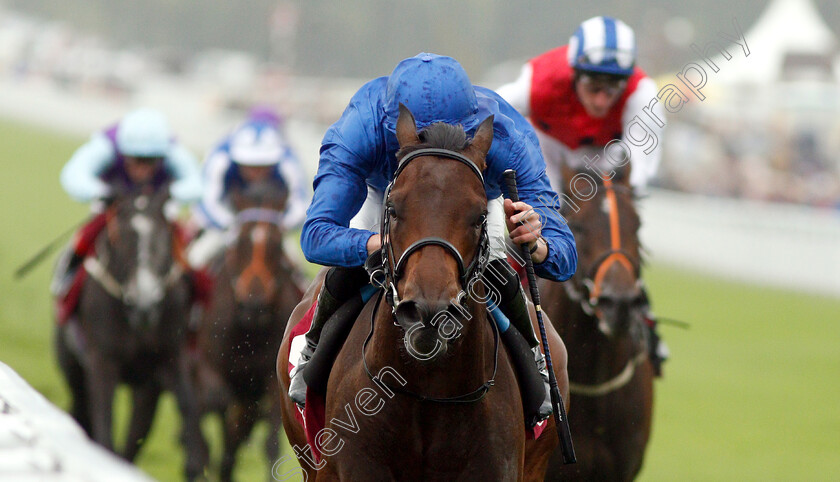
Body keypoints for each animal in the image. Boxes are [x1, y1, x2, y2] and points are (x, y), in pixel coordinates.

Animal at [55, 186, 208, 480]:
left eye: (164, 237)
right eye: (123, 239)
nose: (145, 300)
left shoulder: (171, 359)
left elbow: (188, 405)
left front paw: (194, 460)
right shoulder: (102, 362)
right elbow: (104, 423)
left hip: (146, 388)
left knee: (135, 435)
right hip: (74, 370)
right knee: (81, 408)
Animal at [194, 182, 306, 482]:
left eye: (276, 244)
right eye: (240, 243)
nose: (254, 305)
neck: (249, 332)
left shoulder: (270, 381)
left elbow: (269, 442)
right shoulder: (210, 369)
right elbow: (217, 403)